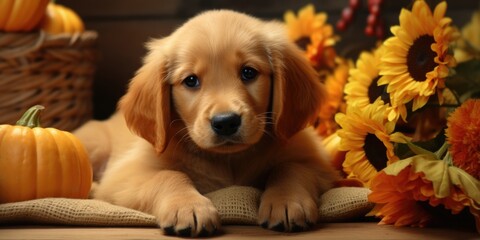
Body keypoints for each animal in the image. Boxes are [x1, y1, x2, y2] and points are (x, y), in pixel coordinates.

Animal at [74, 8, 338, 236]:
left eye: (249, 72)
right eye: (191, 80)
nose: (226, 122)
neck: (228, 161)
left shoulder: (319, 164)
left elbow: (290, 168)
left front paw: (287, 201)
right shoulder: (124, 174)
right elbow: (169, 175)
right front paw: (188, 207)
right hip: (94, 146)